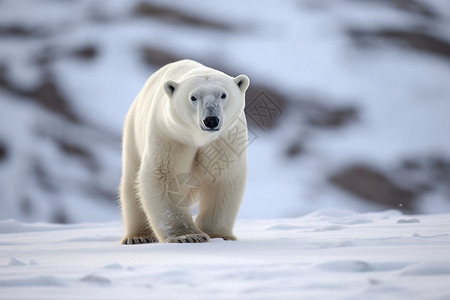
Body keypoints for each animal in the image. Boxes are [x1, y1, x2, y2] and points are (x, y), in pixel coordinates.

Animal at [119, 59, 250, 244]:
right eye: (193, 97)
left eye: (223, 95)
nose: (211, 120)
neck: (199, 138)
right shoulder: (171, 136)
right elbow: (164, 176)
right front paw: (188, 236)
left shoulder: (225, 140)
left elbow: (223, 179)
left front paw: (220, 235)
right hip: (133, 135)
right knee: (131, 185)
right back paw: (138, 237)